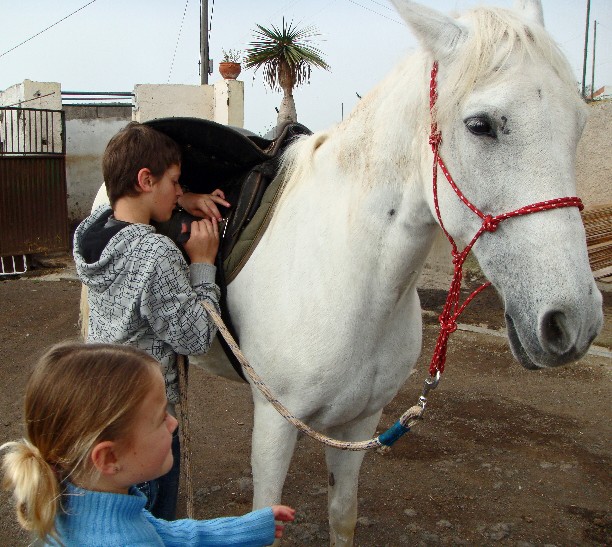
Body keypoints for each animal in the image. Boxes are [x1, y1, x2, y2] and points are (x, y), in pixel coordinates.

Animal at [86, 2, 604, 544]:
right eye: (480, 125)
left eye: (579, 123)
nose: (572, 322)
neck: (351, 274)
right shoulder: (276, 422)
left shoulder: (361, 423)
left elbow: (343, 512)